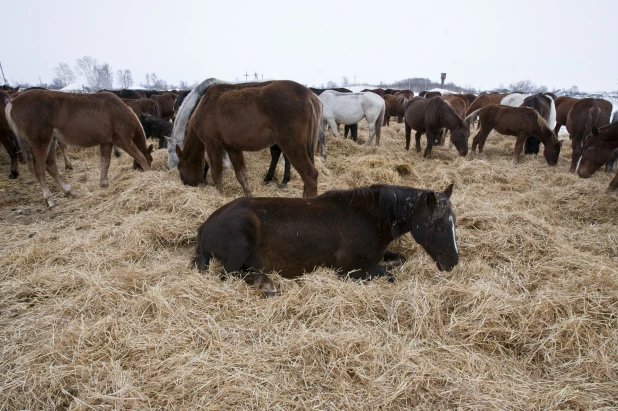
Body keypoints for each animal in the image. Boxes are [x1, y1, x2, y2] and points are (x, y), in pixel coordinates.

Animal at [5, 91, 153, 211]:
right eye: (151, 161)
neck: (121, 112)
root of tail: (12, 102)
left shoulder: (106, 142)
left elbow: (105, 162)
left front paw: (104, 183)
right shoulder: (122, 141)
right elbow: (140, 156)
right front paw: (149, 173)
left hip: (51, 140)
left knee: (51, 165)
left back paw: (69, 191)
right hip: (41, 141)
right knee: (40, 170)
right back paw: (51, 201)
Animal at [172, 80, 320, 198]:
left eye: (179, 167)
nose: (185, 184)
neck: (205, 105)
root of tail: (308, 95)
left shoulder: (212, 145)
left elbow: (217, 174)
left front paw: (220, 195)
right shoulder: (233, 148)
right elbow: (242, 176)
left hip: (291, 146)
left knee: (310, 175)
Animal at [192, 183, 458, 296]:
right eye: (440, 226)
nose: (453, 262)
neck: (367, 217)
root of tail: (205, 225)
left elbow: (399, 260)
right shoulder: (350, 269)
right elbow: (388, 276)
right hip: (240, 244)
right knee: (228, 275)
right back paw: (266, 284)